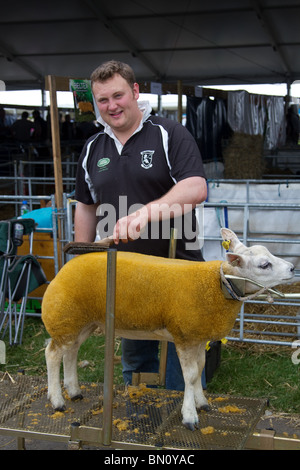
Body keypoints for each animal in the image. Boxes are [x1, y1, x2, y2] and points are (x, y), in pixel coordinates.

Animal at [42, 228, 296, 430]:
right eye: (264, 265)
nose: (293, 268)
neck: (218, 285)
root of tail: (66, 266)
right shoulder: (185, 335)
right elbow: (190, 376)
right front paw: (190, 416)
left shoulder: (198, 336)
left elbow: (199, 370)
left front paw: (201, 403)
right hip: (65, 316)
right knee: (52, 353)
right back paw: (57, 400)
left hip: (81, 321)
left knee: (71, 351)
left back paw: (74, 391)